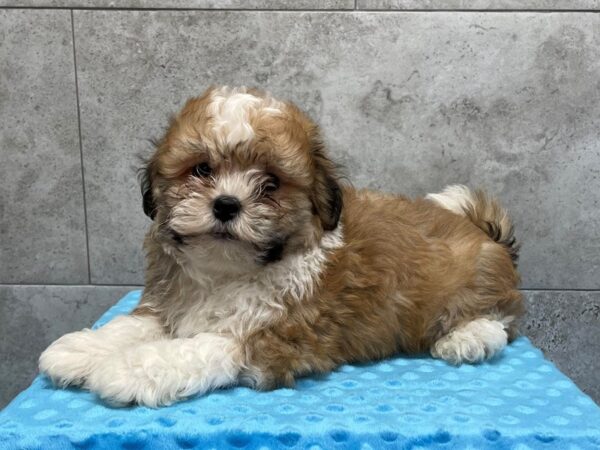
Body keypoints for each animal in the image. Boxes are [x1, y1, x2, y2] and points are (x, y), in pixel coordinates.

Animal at [39, 86, 524, 406]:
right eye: (201, 170)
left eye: (270, 185)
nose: (226, 204)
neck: (227, 272)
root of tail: (484, 233)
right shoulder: (171, 303)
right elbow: (132, 326)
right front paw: (81, 350)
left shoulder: (275, 336)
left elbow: (198, 348)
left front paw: (127, 369)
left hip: (474, 290)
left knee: (499, 320)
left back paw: (468, 338)